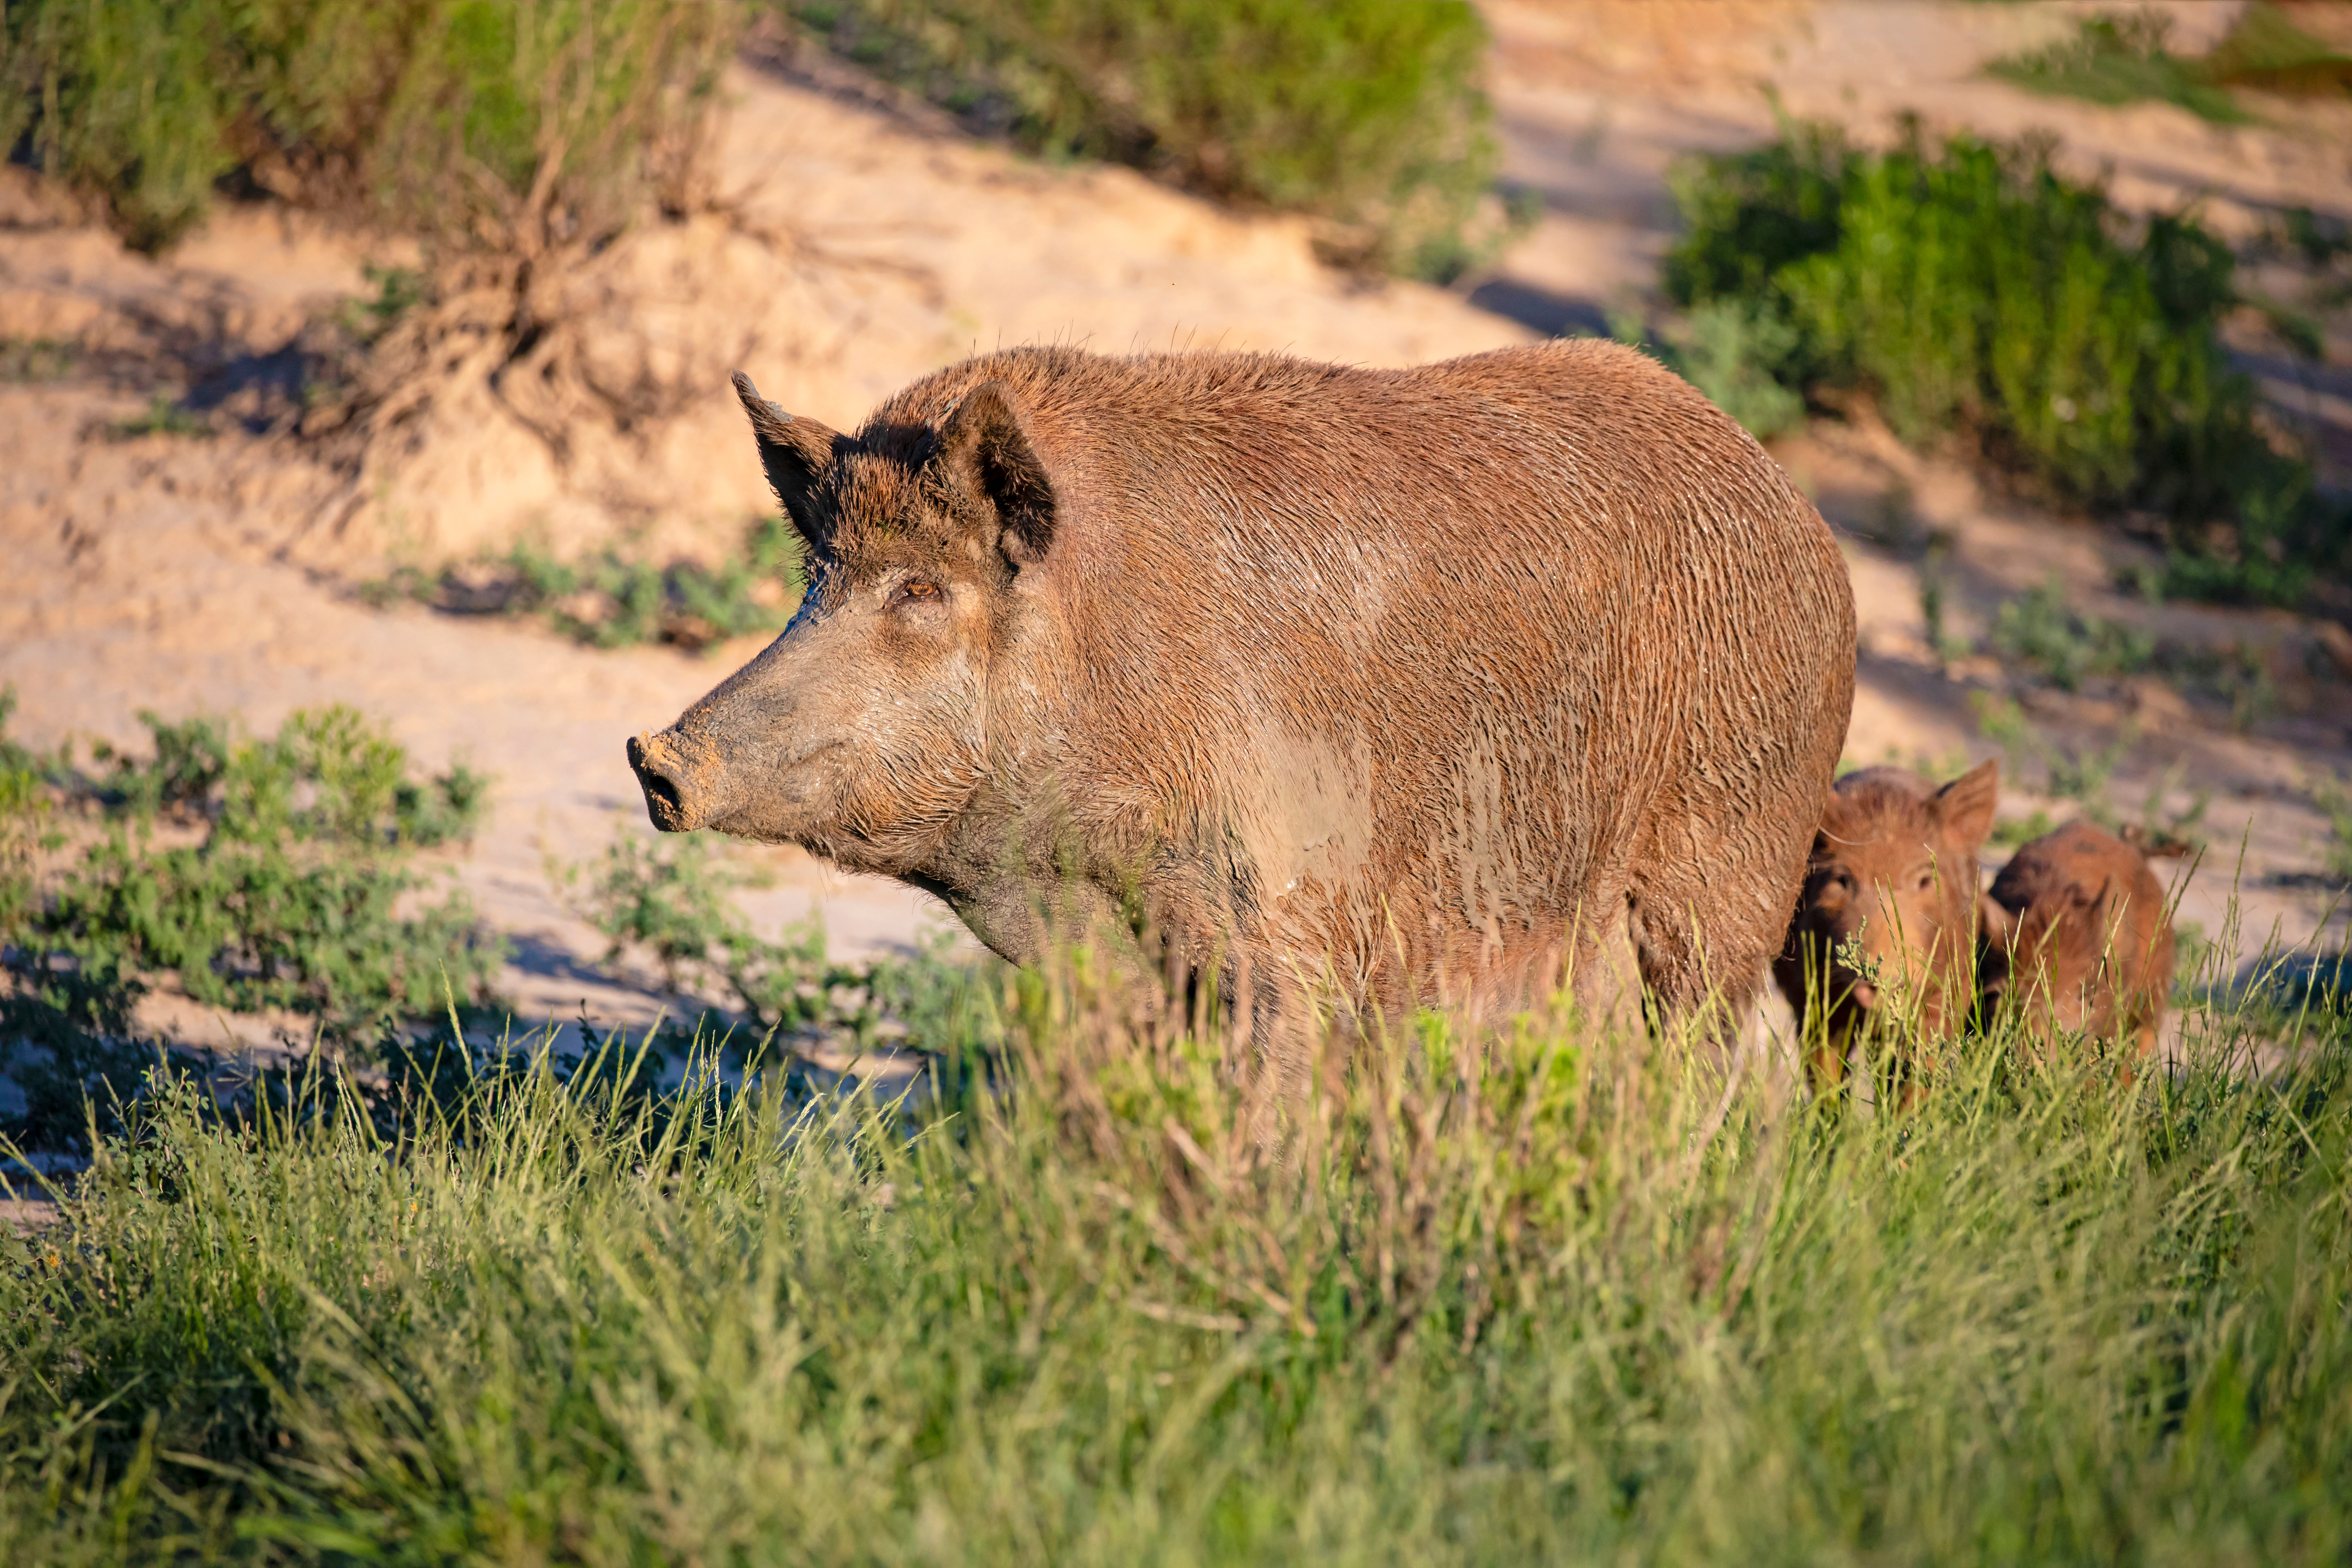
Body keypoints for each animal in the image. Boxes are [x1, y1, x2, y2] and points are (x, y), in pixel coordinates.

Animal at [627, 342, 1856, 1074]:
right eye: (816, 577)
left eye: (922, 590)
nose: (653, 754)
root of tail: (1801, 517)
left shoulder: (1284, 913)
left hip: (1732, 857)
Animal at [1773, 760, 2001, 1090]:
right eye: (1842, 880)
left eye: (1925, 880)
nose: (1885, 978)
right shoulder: (1811, 995)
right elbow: (1825, 1073)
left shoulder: (1947, 988)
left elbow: (1921, 1068)